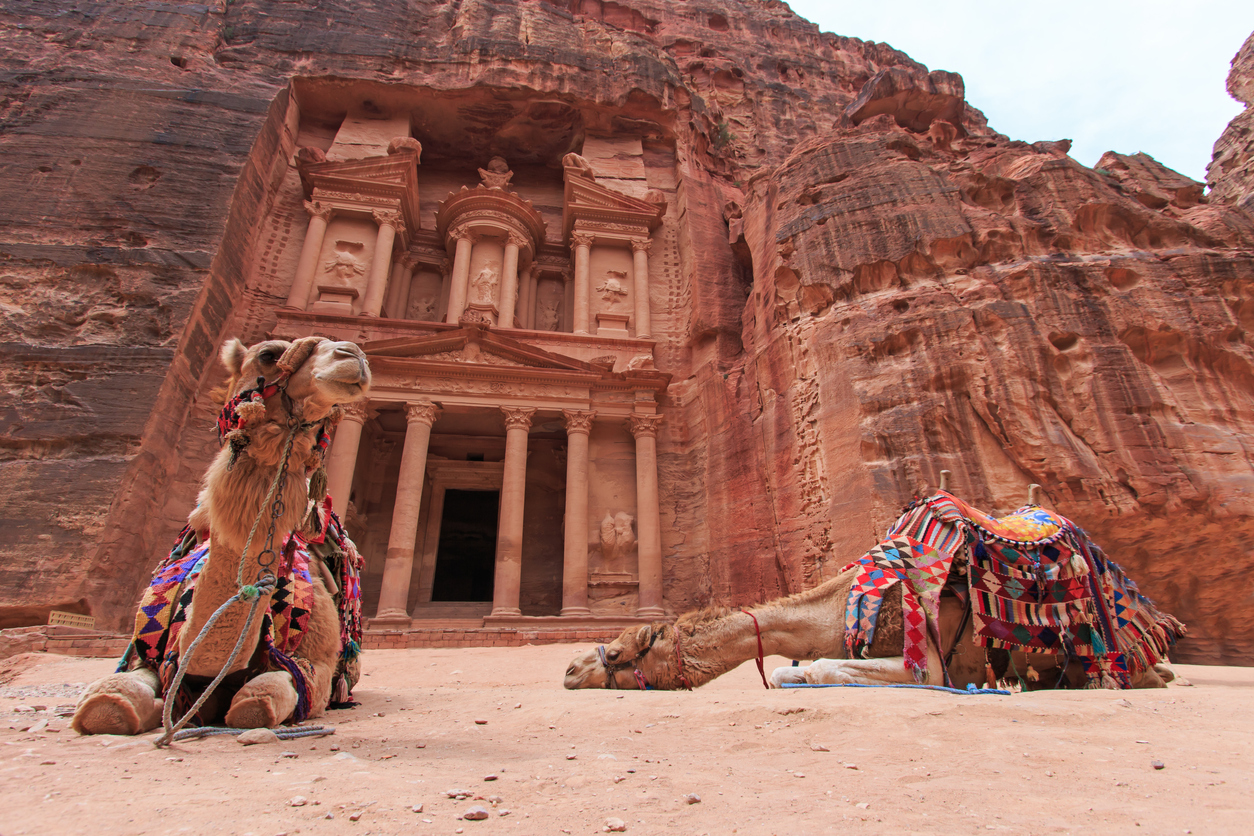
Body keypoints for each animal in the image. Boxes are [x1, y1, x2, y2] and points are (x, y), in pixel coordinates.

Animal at [73, 335, 368, 736]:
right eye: (268, 355)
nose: (353, 355)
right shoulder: (150, 659)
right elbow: (106, 702)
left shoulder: (314, 664)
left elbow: (256, 705)